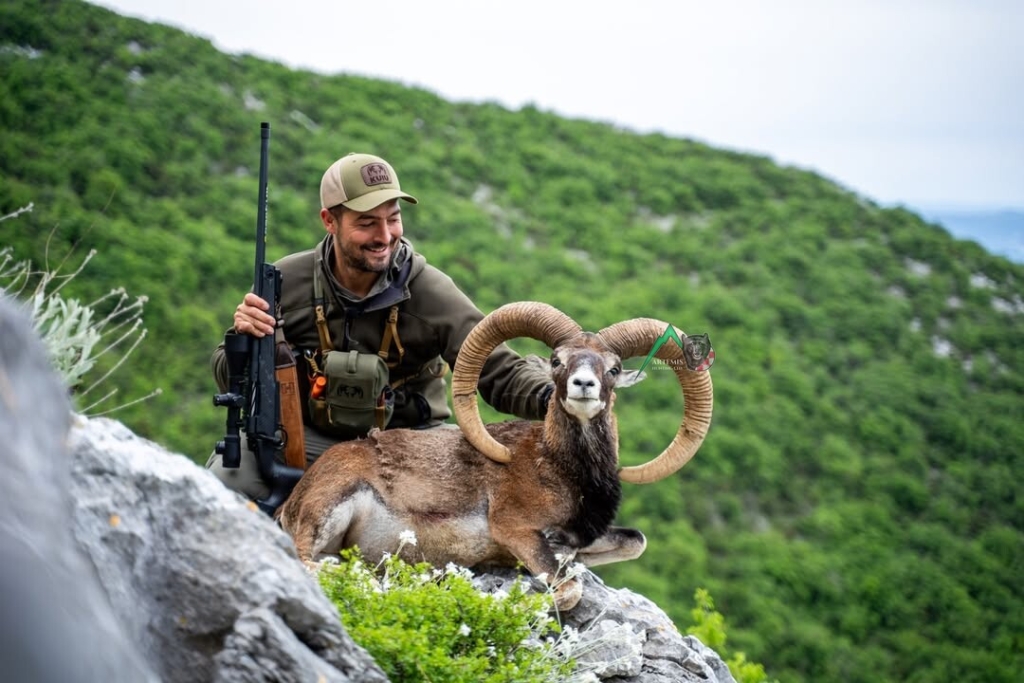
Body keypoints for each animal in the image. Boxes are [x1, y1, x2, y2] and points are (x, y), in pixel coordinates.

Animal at [276, 301, 713, 610]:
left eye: (614, 368)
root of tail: (292, 500)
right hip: (329, 506)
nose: (583, 385)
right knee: (307, 558)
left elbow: (634, 541)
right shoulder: (516, 531)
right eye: (557, 360)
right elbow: (570, 589)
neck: (563, 470)